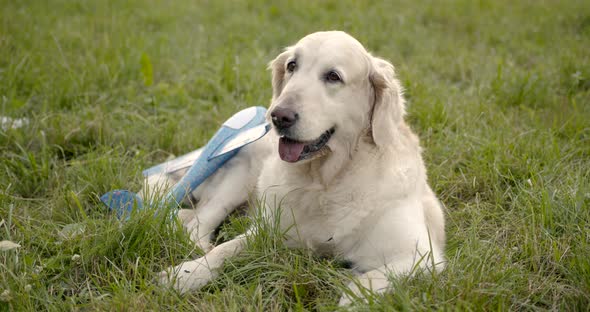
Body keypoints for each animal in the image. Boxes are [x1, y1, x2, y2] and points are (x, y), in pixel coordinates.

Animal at [155, 30, 446, 304]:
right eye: (292, 66)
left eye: (333, 76)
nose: (278, 116)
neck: (324, 181)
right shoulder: (266, 229)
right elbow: (225, 250)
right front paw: (186, 274)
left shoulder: (420, 257)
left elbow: (369, 280)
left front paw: (352, 300)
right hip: (243, 174)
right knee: (198, 222)